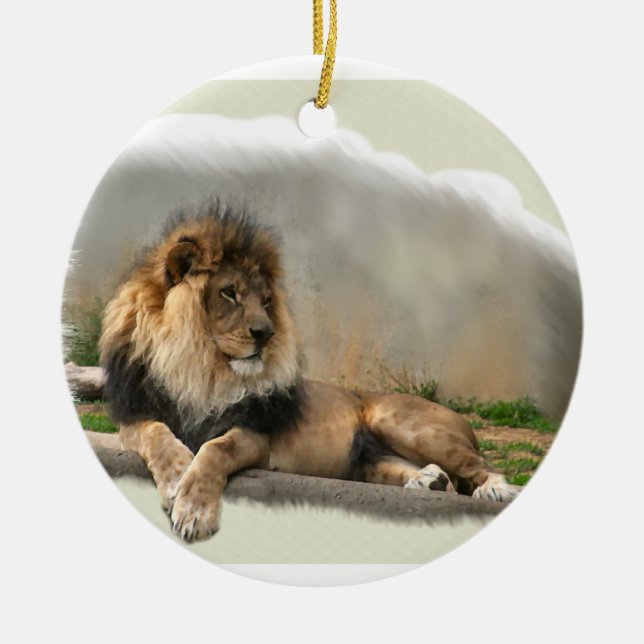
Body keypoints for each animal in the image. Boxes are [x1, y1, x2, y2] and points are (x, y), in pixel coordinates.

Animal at [99, 204, 516, 542]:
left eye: (266, 300)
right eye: (229, 293)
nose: (266, 333)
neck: (199, 368)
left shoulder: (256, 434)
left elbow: (217, 449)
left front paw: (194, 510)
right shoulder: (135, 415)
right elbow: (156, 435)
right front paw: (175, 477)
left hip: (402, 422)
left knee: (483, 467)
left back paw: (495, 490)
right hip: (369, 462)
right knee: (434, 479)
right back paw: (428, 481)